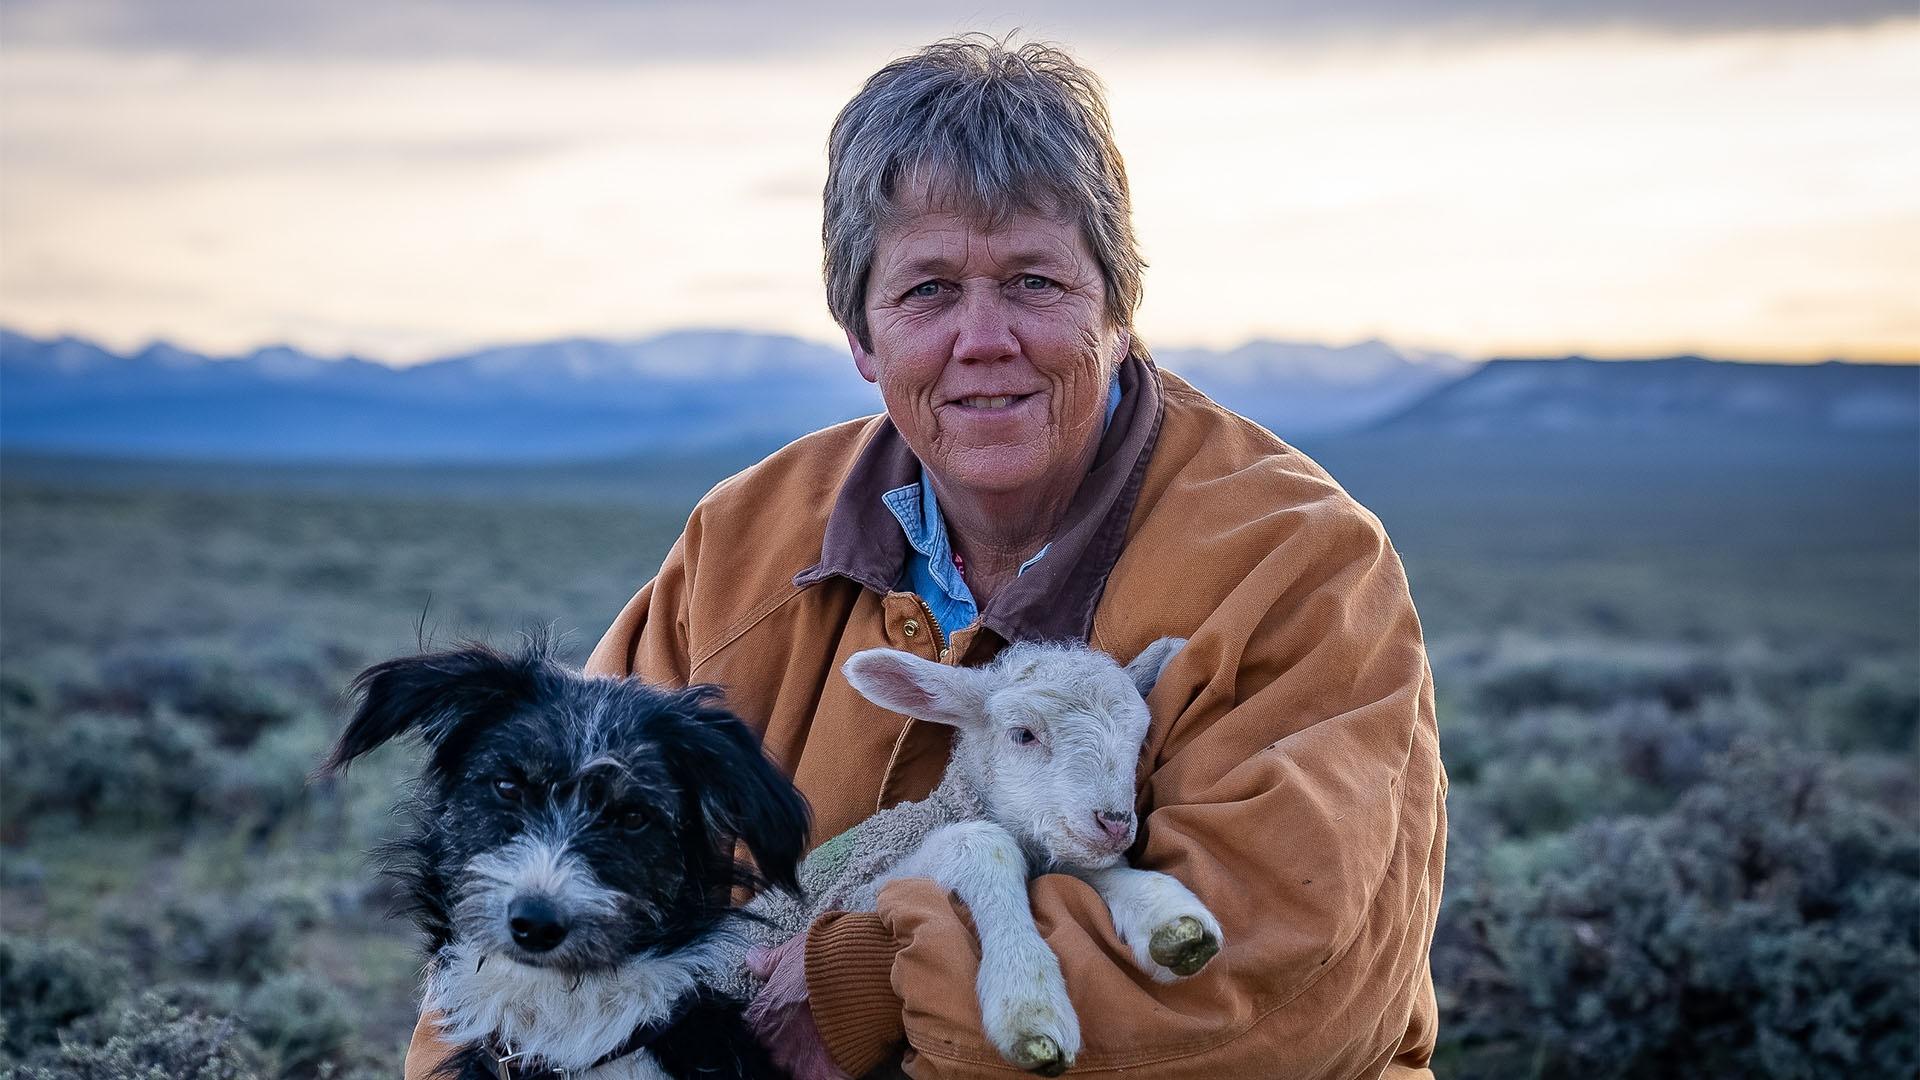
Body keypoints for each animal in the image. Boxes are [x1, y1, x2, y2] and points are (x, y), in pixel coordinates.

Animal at [725, 634, 1221, 1068]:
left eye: (1139, 739)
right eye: (1023, 734)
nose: (1115, 823)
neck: (945, 809)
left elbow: (1090, 870)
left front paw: (1166, 914)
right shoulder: (856, 893)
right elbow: (985, 844)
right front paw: (1027, 996)